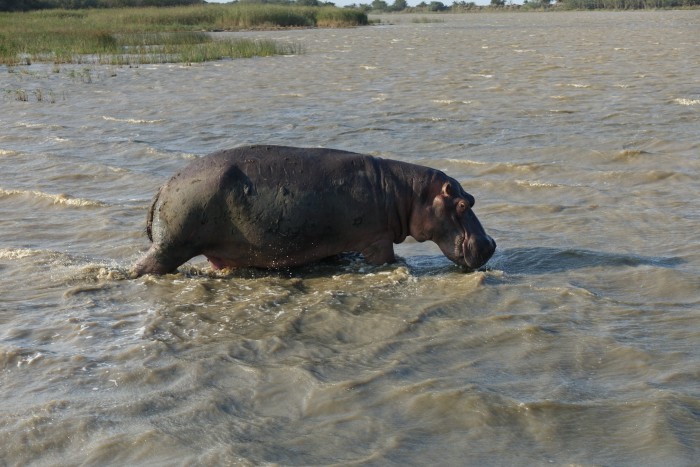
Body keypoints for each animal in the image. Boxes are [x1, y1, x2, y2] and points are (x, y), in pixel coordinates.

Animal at [130, 146, 492, 276]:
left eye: (473, 199)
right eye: (461, 204)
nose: (490, 244)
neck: (408, 193)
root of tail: (162, 187)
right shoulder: (377, 241)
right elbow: (388, 260)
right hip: (172, 246)